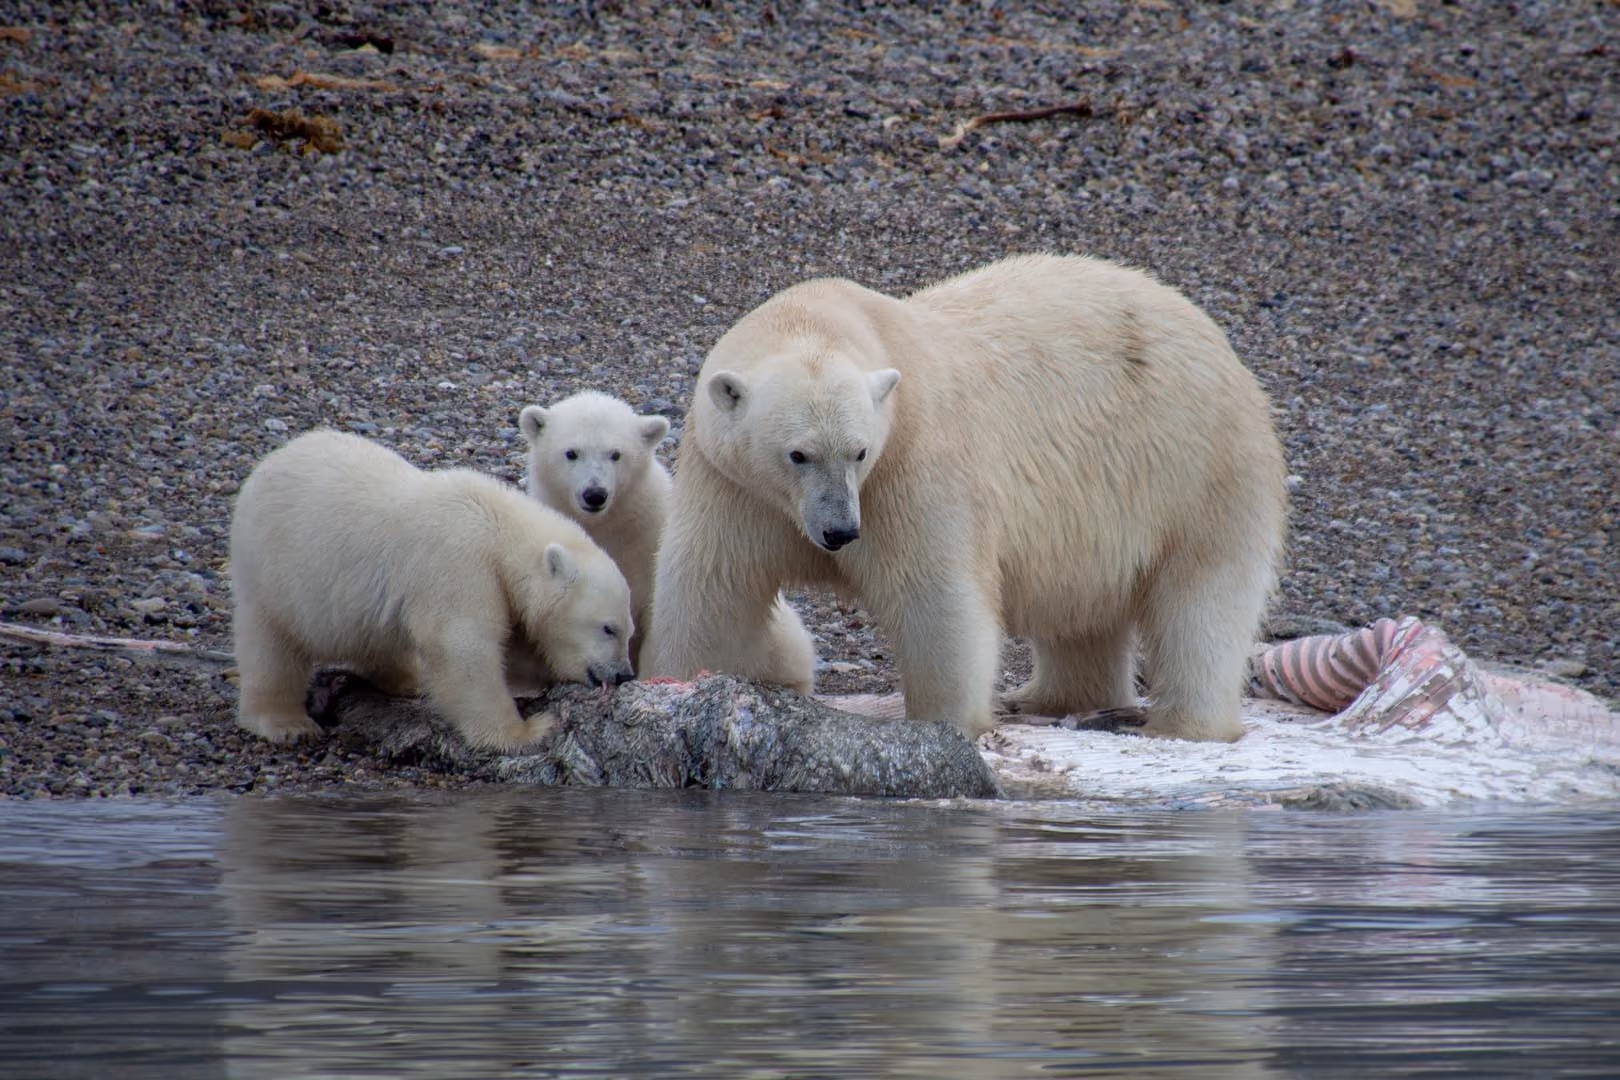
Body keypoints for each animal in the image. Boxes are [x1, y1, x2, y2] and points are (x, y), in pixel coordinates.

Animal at [229, 429, 635, 752]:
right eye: (608, 628)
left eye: (630, 630)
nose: (624, 675)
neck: (495, 525)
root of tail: (270, 462)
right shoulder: (457, 563)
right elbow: (463, 645)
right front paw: (528, 730)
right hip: (271, 570)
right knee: (271, 648)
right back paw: (286, 723)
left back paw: (407, 679)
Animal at [646, 253, 1288, 742]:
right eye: (797, 454)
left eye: (858, 452)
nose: (839, 532)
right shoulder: (731, 482)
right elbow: (715, 585)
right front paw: (674, 685)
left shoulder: (911, 469)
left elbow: (933, 593)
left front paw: (946, 723)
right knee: (1082, 607)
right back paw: (1048, 697)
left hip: (1197, 466)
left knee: (1203, 599)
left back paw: (1184, 725)